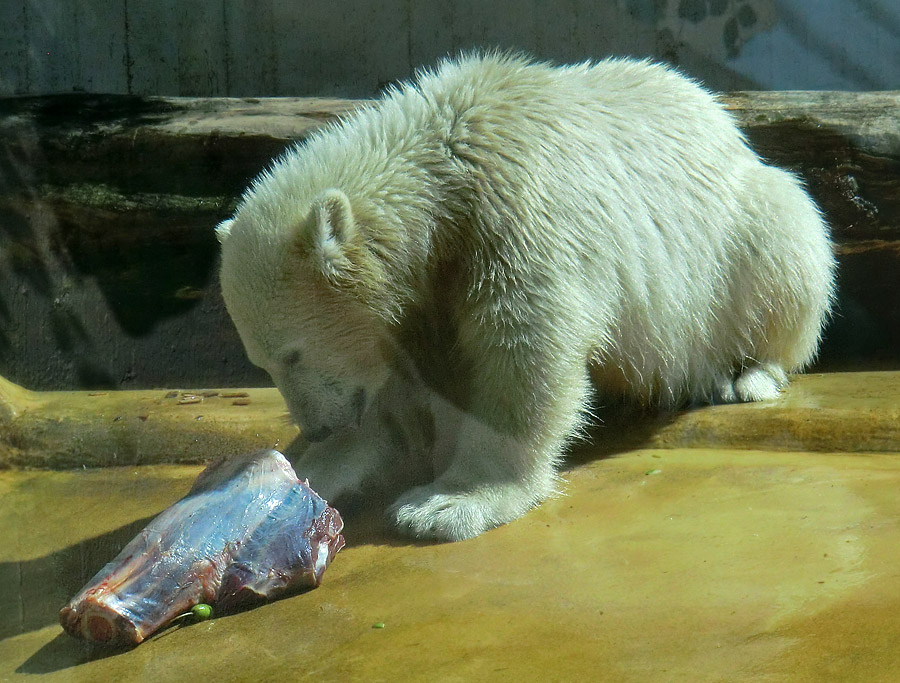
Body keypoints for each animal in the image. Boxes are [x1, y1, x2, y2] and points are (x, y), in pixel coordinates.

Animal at [218, 53, 836, 544]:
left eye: (292, 352)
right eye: (261, 363)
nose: (318, 427)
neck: (444, 166)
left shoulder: (517, 209)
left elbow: (525, 345)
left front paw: (447, 503)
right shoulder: (421, 296)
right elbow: (401, 396)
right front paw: (302, 470)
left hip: (736, 229)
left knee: (783, 239)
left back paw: (744, 374)